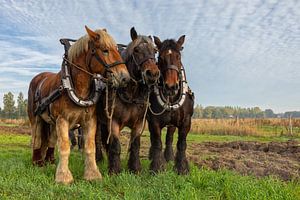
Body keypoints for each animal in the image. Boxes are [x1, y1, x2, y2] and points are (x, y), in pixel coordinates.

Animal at [28, 26, 130, 184]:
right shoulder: (62, 120)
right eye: (105, 50)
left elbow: (90, 147)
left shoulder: (90, 120)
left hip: (52, 122)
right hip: (36, 118)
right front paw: (63, 177)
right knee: (37, 138)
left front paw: (92, 174)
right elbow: (64, 146)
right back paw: (37, 162)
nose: (125, 78)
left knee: (51, 139)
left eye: (116, 49)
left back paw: (50, 161)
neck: (75, 86)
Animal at [95, 27, 162, 174]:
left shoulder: (139, 123)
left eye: (155, 50)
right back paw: (98, 159)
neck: (131, 94)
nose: (153, 74)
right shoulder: (113, 121)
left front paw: (135, 168)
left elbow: (135, 145)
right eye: (136, 50)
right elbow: (115, 144)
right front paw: (114, 170)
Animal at [148, 35, 195, 174]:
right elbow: (157, 142)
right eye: (160, 58)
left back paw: (169, 157)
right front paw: (157, 167)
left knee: (169, 137)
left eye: (178, 57)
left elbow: (181, 143)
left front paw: (181, 167)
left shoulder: (186, 121)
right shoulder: (154, 122)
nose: (171, 86)